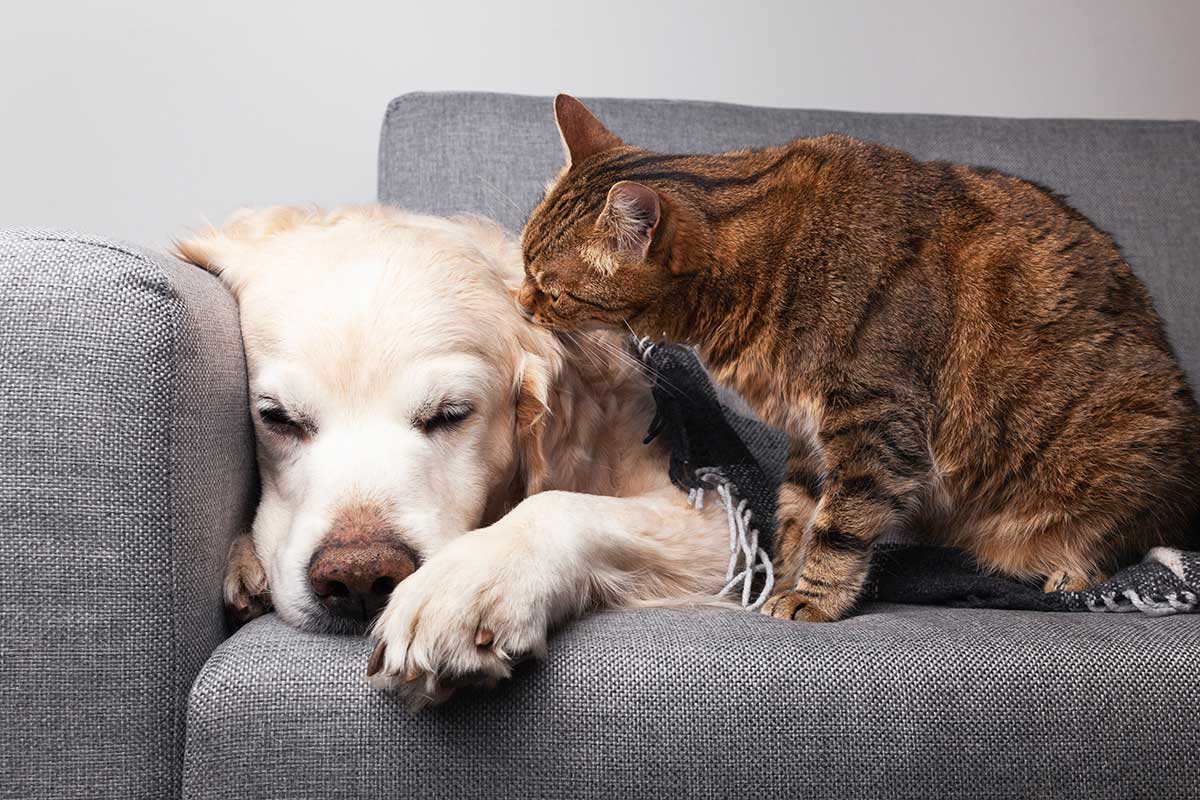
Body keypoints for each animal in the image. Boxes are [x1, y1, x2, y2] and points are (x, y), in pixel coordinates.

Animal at [175, 208, 729, 705]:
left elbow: (560, 504)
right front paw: (245, 563)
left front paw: (470, 583)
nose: (359, 579)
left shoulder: (721, 518)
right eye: (277, 418)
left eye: (450, 414)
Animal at [520, 90, 1200, 623]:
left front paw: (811, 596)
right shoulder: (807, 432)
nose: (521, 302)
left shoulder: (875, 422)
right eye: (525, 263)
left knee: (1122, 541)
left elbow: (841, 522)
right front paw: (783, 576)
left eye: (551, 288)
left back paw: (1070, 572)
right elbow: (797, 514)